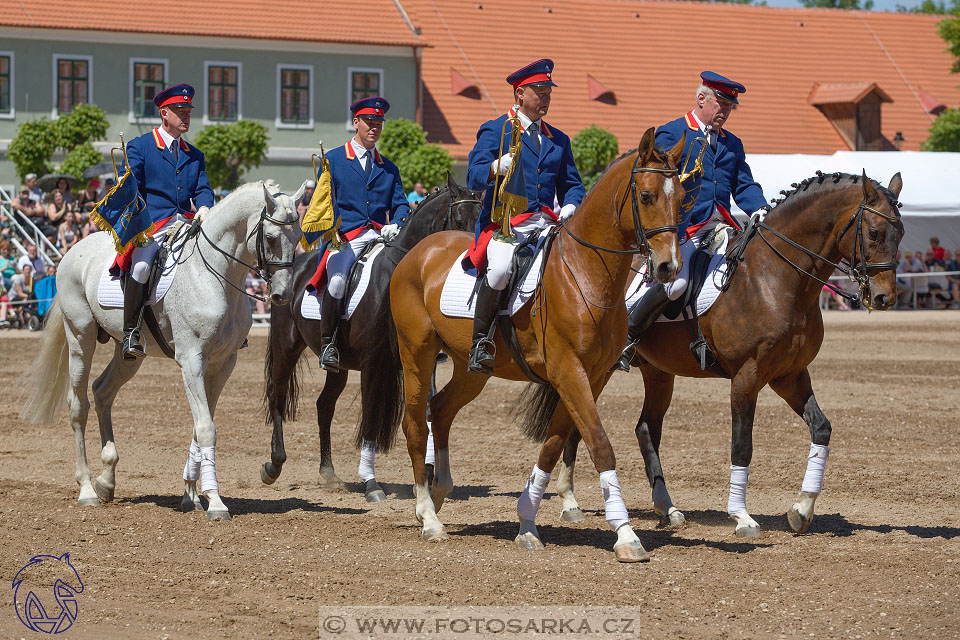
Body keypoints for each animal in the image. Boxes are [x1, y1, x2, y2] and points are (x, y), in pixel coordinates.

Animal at [19, 182, 304, 524]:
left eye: (299, 237)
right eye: (272, 238)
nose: (282, 295)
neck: (213, 275)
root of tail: (72, 251)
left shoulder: (223, 363)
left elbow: (200, 425)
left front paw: (191, 495)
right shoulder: (191, 360)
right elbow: (206, 428)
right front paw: (215, 501)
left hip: (129, 354)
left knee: (102, 391)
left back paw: (106, 481)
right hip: (80, 338)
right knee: (78, 405)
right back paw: (87, 489)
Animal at [260, 174, 480, 500]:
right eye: (460, 221)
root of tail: (293, 267)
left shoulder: (420, 361)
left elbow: (427, 412)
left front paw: (427, 475)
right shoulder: (374, 363)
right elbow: (371, 418)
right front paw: (371, 483)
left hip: (338, 366)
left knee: (324, 405)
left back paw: (328, 472)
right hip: (286, 346)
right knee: (277, 394)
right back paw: (274, 465)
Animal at [364, 129, 688, 560]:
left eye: (682, 197)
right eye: (648, 195)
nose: (669, 267)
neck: (585, 273)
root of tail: (414, 253)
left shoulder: (592, 376)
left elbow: (553, 444)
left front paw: (527, 522)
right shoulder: (568, 371)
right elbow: (599, 444)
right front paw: (625, 535)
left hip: (471, 370)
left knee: (442, 410)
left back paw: (439, 493)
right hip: (416, 353)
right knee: (416, 423)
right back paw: (428, 517)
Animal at [552, 170, 904, 536]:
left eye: (902, 232)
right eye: (874, 232)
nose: (884, 298)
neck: (773, 278)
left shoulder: (788, 375)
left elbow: (821, 428)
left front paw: (802, 509)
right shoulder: (747, 375)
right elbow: (742, 445)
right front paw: (742, 516)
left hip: (658, 373)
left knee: (645, 429)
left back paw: (668, 509)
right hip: (597, 370)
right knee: (577, 422)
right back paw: (569, 501)